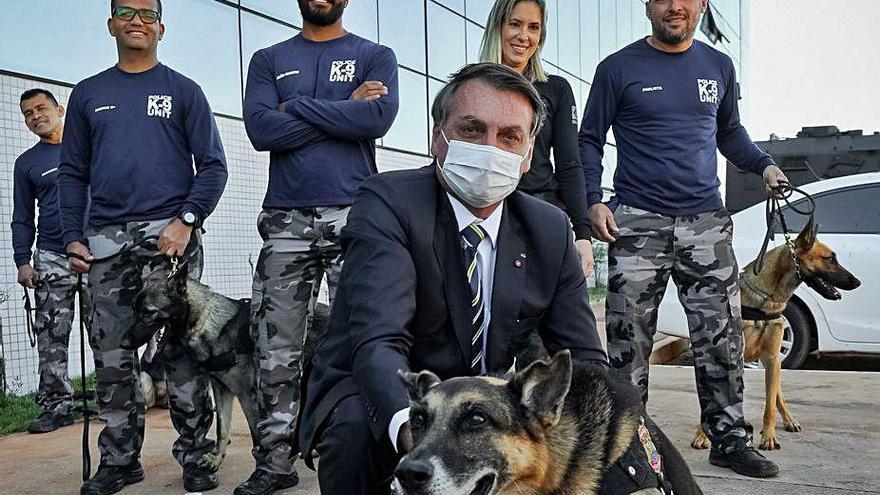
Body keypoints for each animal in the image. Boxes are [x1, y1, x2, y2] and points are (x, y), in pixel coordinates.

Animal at [132, 268, 260, 472]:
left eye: (148, 312)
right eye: (134, 310)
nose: (124, 341)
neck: (206, 323)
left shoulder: (247, 395)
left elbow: (257, 434)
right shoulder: (222, 390)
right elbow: (222, 428)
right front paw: (216, 459)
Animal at [688, 218, 860, 454]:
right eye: (830, 259)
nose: (857, 282)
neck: (765, 301)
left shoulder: (772, 359)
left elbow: (769, 404)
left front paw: (768, 437)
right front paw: (703, 434)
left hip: (774, 363)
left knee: (777, 393)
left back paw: (789, 420)